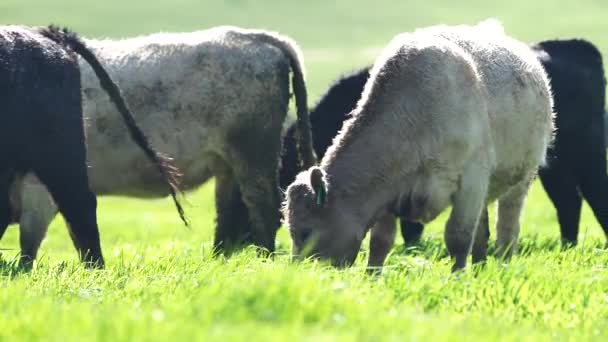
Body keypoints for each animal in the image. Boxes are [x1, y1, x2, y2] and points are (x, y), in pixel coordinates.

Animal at [282, 38, 608, 248]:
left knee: (592, 196)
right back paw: (566, 245)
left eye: (286, 157)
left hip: (585, 155)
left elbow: (413, 229)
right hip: (556, 167)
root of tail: (577, 47)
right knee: (568, 201)